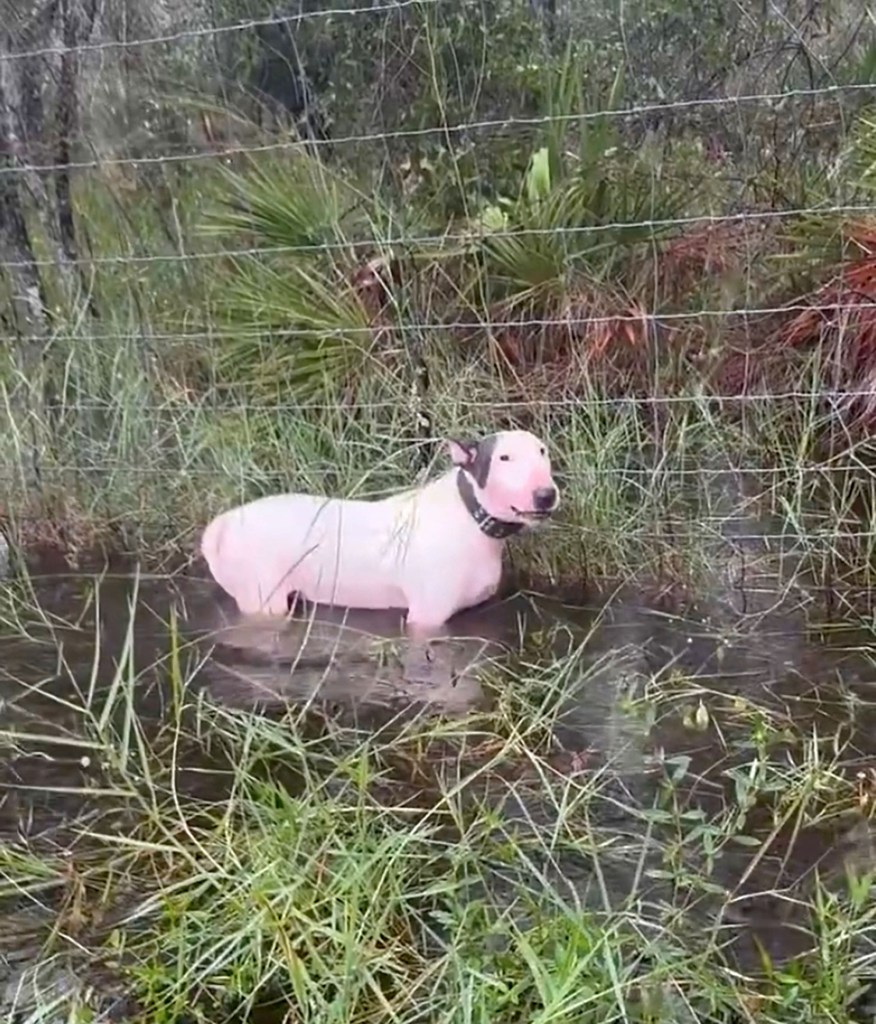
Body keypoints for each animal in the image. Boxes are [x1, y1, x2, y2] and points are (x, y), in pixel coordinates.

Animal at [200, 430, 557, 679]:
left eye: (543, 451)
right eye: (504, 458)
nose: (546, 495)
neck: (470, 518)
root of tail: (221, 525)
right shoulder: (426, 618)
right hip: (262, 596)